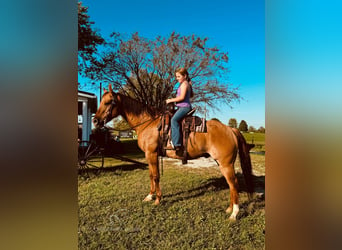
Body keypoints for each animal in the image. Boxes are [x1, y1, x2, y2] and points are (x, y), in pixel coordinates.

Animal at [93, 84, 254, 221]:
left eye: (108, 102)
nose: (95, 121)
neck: (148, 123)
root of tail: (230, 129)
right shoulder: (150, 156)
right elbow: (151, 175)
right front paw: (149, 196)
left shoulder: (151, 154)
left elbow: (156, 176)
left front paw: (157, 199)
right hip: (222, 163)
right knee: (231, 185)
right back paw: (229, 209)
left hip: (226, 164)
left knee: (234, 184)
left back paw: (234, 214)